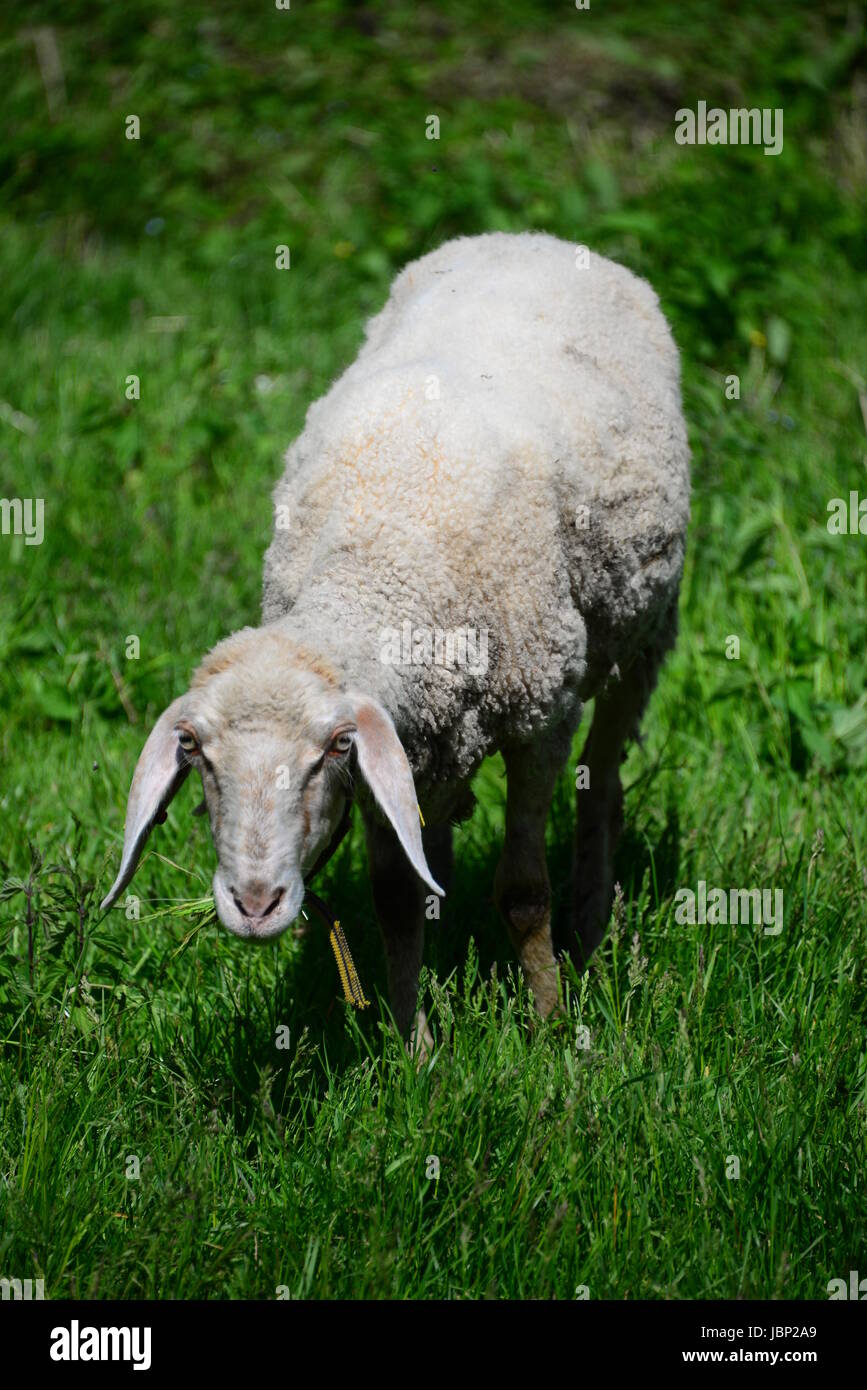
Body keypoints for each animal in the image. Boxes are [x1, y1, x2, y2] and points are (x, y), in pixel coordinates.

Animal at [101, 231, 690, 1045]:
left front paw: (546, 1027)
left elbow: (523, 891)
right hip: (439, 741)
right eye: (195, 752)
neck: (375, 558)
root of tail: (532, 237)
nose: (254, 907)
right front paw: (414, 1047)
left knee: (600, 783)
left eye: (329, 750)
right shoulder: (393, 745)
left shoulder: (539, 719)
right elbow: (395, 901)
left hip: (641, 635)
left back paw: (591, 921)